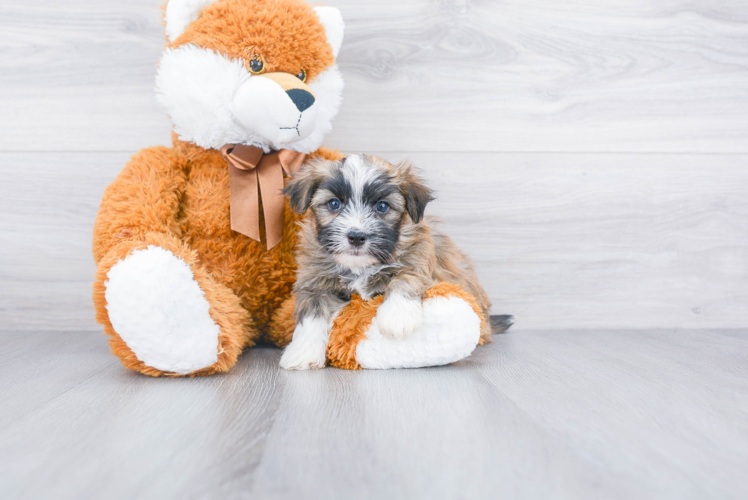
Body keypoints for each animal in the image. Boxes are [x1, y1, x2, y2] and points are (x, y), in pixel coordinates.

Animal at [278, 154, 494, 370]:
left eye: (382, 206)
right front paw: (303, 353)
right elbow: (311, 316)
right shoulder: (315, 281)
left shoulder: (419, 257)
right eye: (334, 204)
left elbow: (406, 277)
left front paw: (397, 317)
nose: (356, 237)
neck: (360, 266)